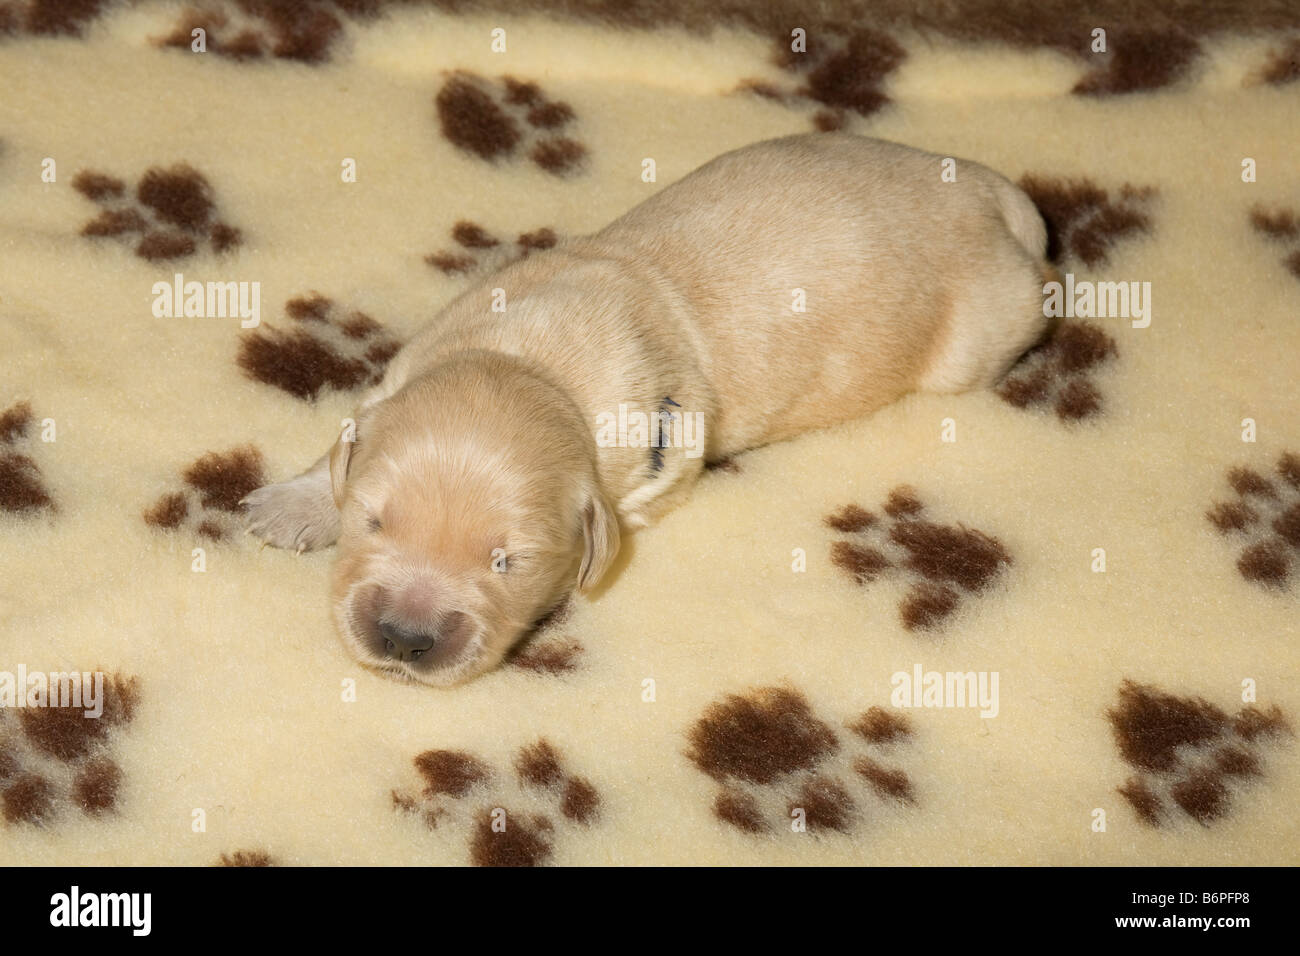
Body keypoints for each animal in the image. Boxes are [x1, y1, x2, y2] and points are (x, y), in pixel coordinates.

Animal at [245, 136, 1055, 686]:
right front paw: (296, 503)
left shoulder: (656, 460)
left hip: (981, 336)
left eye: (509, 562)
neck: (534, 366)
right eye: (374, 522)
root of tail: (987, 191)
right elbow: (345, 444)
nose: (404, 640)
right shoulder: (413, 363)